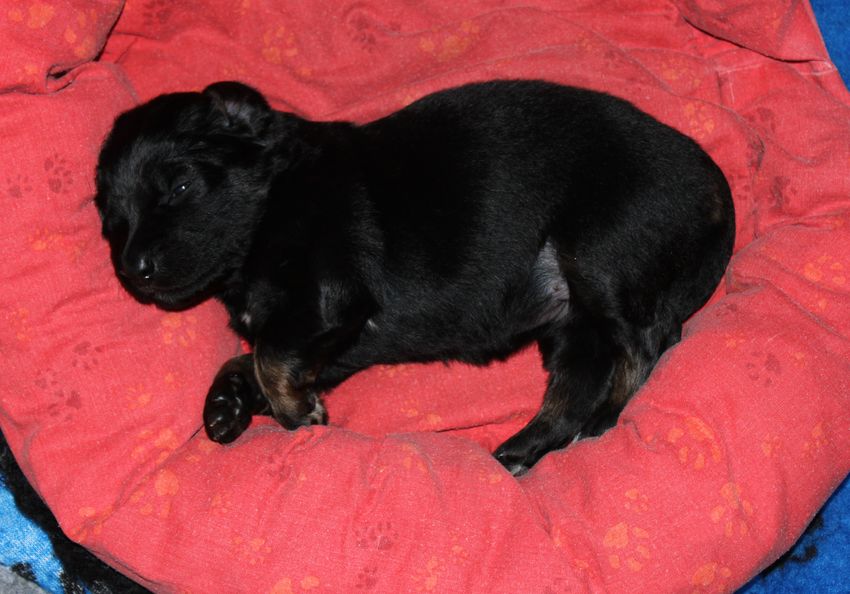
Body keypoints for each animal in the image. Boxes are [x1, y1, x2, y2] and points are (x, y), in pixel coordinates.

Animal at [94, 80, 735, 475]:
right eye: (109, 219)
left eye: (180, 186)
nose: (132, 269)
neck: (273, 198)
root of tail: (718, 191)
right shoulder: (330, 342)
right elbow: (250, 357)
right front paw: (227, 405)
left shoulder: (329, 298)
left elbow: (271, 355)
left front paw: (297, 414)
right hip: (570, 320)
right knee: (580, 383)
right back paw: (523, 449)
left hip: (600, 253)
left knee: (647, 344)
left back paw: (600, 420)